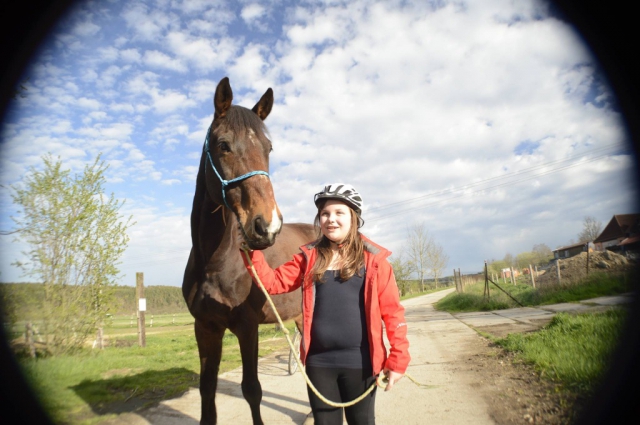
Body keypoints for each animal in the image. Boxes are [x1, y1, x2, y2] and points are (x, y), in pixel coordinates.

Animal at [181, 77, 316, 424]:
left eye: (268, 148)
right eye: (223, 145)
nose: (267, 225)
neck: (214, 261)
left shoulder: (247, 327)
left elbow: (252, 389)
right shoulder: (206, 329)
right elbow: (207, 391)